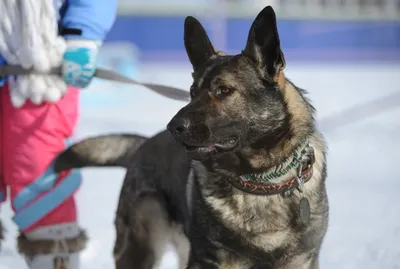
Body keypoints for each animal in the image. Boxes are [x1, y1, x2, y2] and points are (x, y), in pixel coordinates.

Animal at [54, 5, 328, 268]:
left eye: (224, 90)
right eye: (193, 92)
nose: (173, 127)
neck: (260, 183)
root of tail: (144, 143)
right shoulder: (208, 260)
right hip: (144, 248)